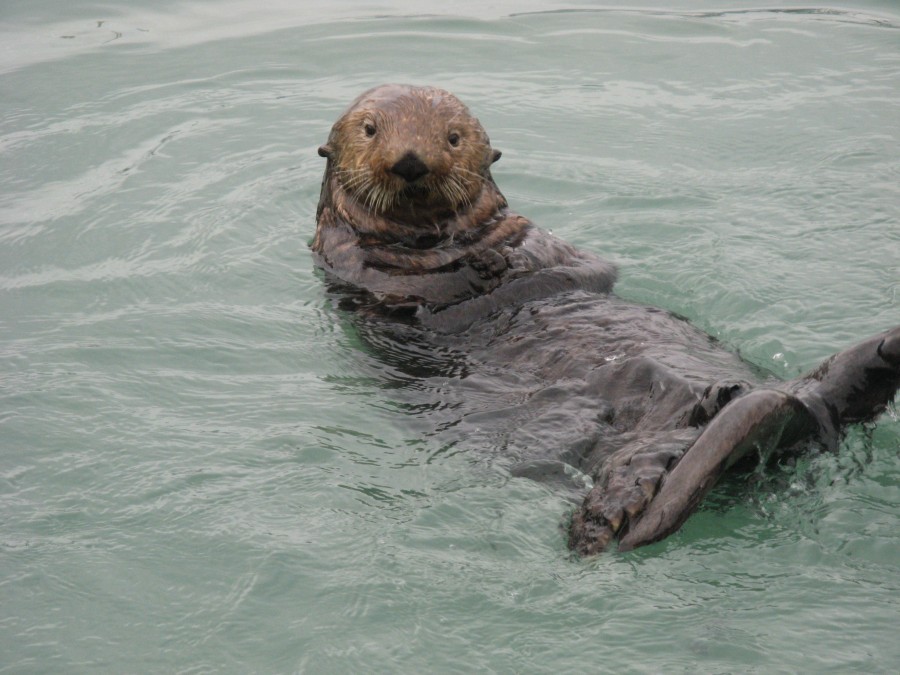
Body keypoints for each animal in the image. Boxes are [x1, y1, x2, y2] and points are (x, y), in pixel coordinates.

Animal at [312, 84, 900, 556]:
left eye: (453, 138)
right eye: (370, 129)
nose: (410, 161)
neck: (438, 240)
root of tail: (799, 408)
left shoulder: (537, 240)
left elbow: (554, 261)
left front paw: (499, 262)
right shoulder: (355, 265)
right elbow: (421, 290)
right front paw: (476, 270)